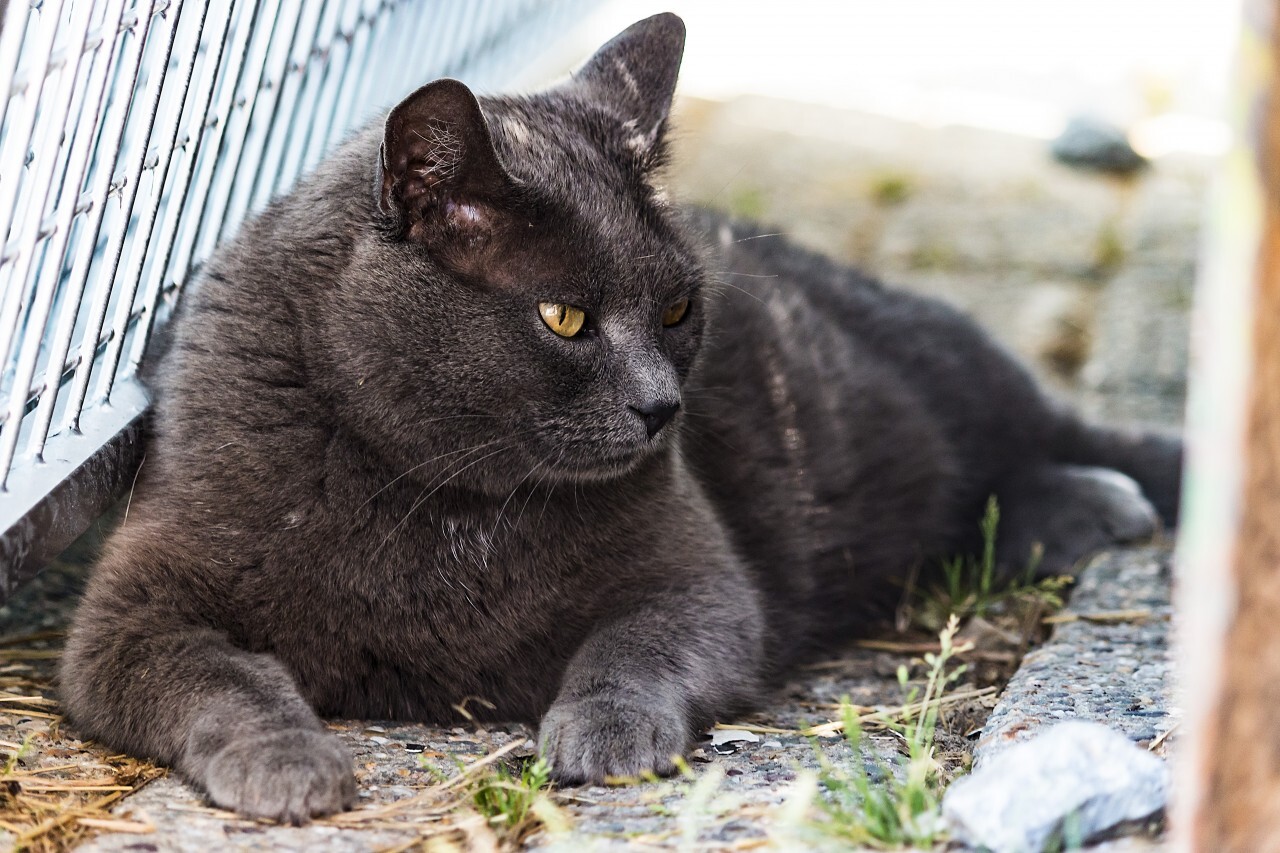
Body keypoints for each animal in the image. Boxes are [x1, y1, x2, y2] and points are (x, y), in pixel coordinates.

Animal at [60, 11, 1177, 824]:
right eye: (564, 317)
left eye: (678, 309)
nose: (662, 405)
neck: (444, 501)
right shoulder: (131, 612)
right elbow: (222, 678)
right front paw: (289, 763)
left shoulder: (700, 579)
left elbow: (631, 648)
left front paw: (604, 736)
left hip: (935, 365)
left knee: (1047, 432)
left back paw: (1112, 499)